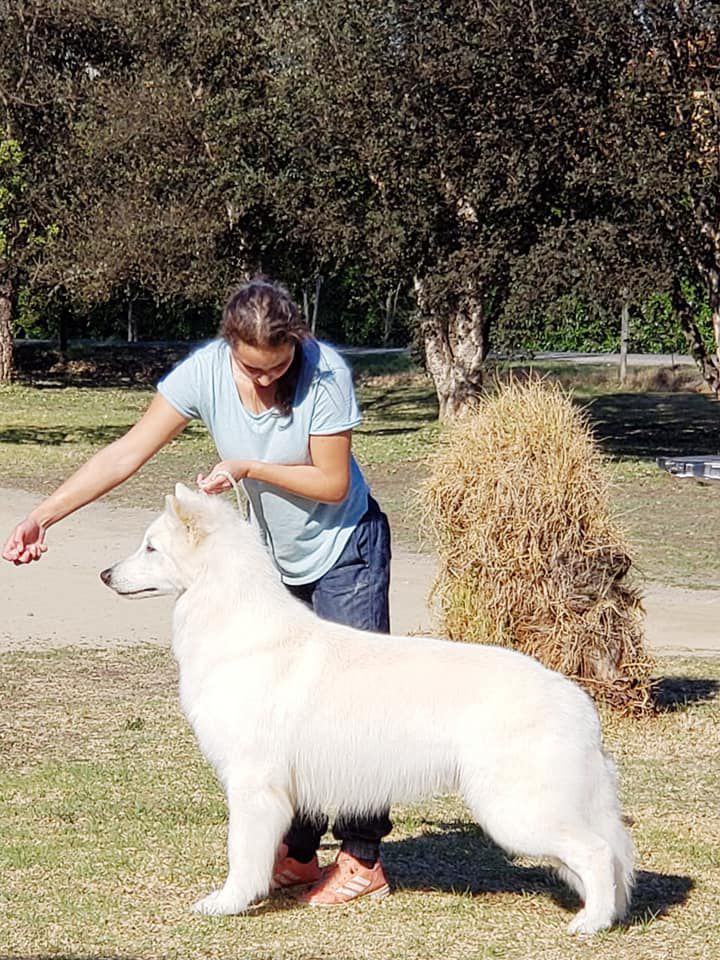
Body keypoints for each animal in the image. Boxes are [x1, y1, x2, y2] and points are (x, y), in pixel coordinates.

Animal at [98, 484, 632, 932]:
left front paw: (229, 902)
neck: (234, 620)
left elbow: (240, 853)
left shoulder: (252, 784)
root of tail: (577, 701)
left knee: (598, 851)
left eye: (150, 548)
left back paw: (592, 923)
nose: (105, 574)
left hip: (516, 812)